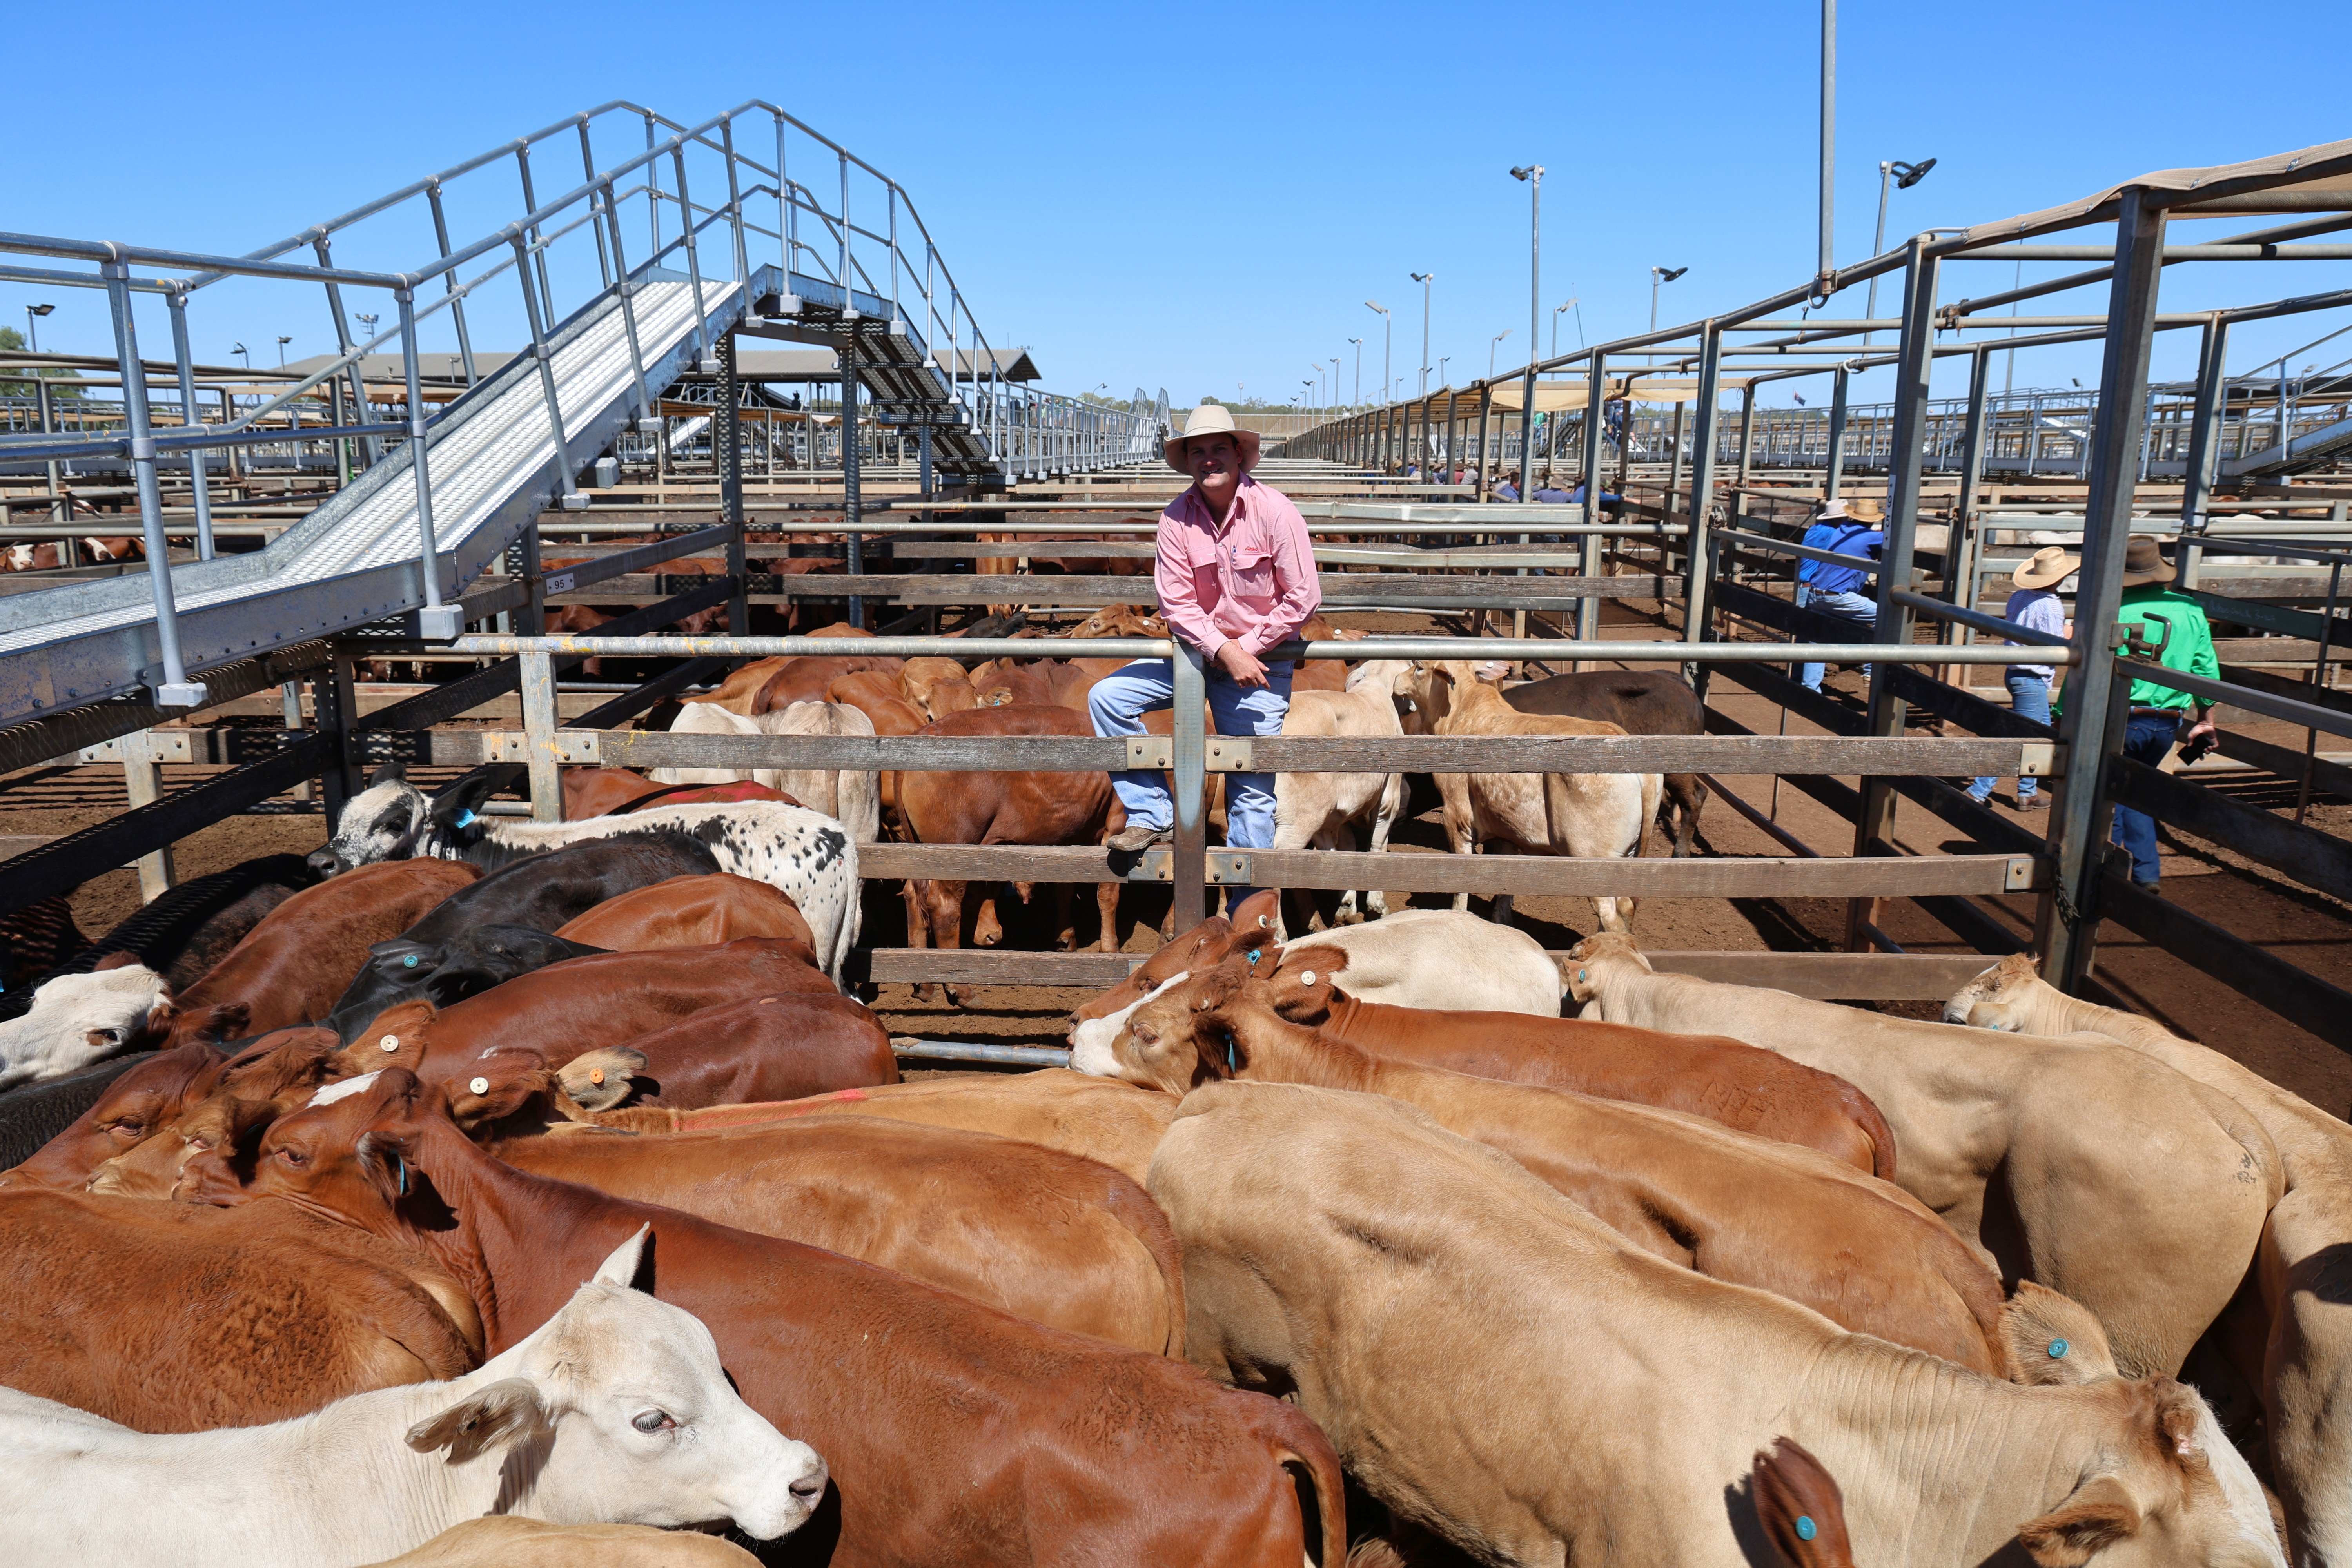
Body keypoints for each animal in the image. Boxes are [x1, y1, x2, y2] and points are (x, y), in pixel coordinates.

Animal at [1271, 659, 1412, 936]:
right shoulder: (1389, 795)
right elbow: (1377, 844)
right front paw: (1377, 906)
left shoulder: (1335, 814)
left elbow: (1343, 850)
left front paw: (1347, 907)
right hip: (1299, 820)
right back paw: (1278, 933)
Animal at [1401, 660, 1660, 933]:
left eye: (1419, 667)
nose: (1397, 680)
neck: (1459, 714)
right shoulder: (1507, 830)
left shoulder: (1456, 818)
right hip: (1629, 854)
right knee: (1626, 907)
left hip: (1594, 857)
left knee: (1611, 917)